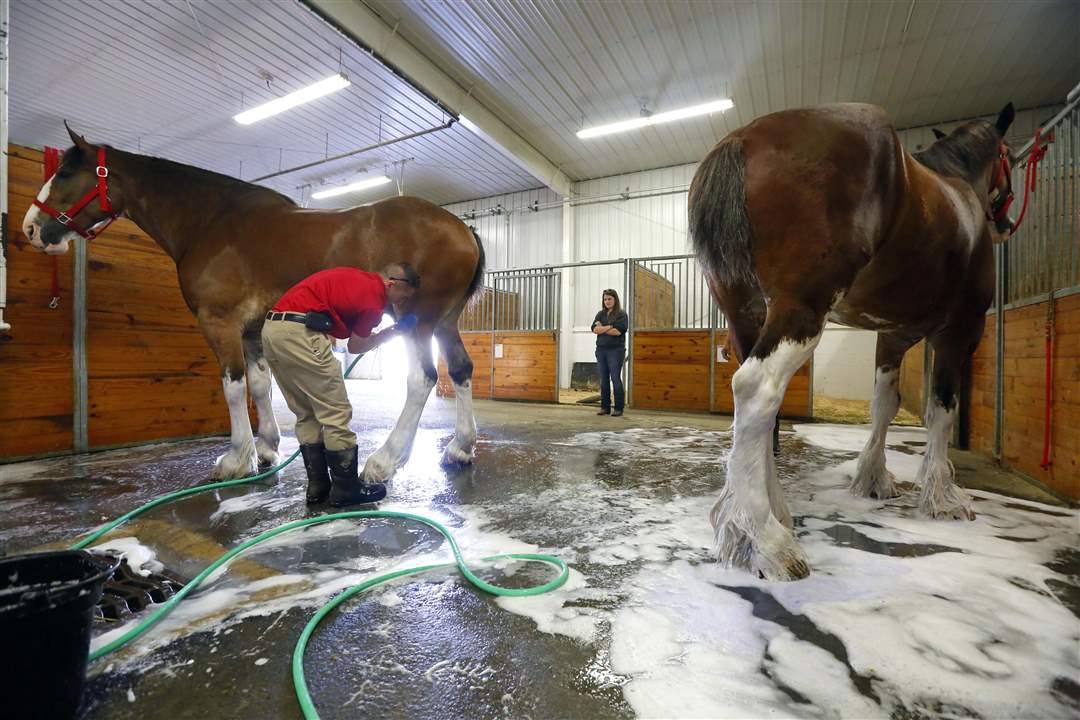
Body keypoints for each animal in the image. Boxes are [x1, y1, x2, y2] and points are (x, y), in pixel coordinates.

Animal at [22, 126, 486, 481]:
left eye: (65, 172)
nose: (31, 228)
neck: (209, 221)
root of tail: (462, 229)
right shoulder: (252, 328)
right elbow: (260, 384)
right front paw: (266, 449)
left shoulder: (219, 321)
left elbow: (232, 385)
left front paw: (235, 458)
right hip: (445, 322)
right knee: (460, 370)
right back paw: (460, 448)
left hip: (417, 321)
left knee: (422, 379)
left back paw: (384, 461)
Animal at [686, 101, 1015, 578]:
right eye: (1010, 158)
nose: (1005, 223)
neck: (958, 190)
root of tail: (741, 139)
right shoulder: (960, 332)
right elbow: (941, 410)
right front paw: (943, 497)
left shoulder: (892, 336)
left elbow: (884, 405)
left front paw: (875, 480)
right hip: (800, 310)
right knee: (756, 390)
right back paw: (765, 540)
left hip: (745, 314)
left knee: (761, 409)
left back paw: (773, 515)